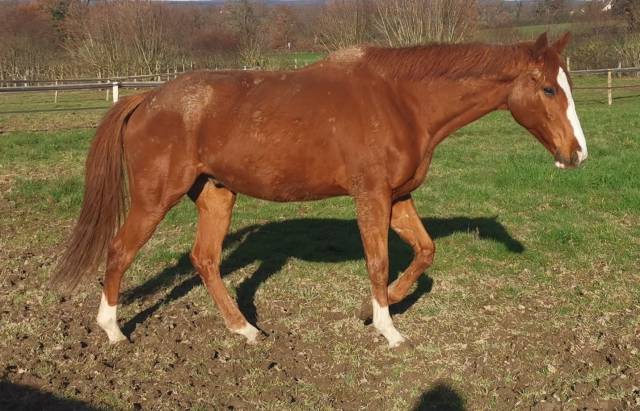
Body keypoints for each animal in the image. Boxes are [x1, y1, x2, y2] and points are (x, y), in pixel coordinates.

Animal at [52, 32, 587, 348]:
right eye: (548, 89)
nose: (577, 154)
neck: (400, 100)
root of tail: (148, 98)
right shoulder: (372, 197)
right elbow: (379, 261)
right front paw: (389, 329)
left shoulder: (399, 198)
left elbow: (425, 252)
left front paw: (372, 311)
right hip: (154, 198)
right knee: (120, 251)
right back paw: (113, 330)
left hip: (217, 195)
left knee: (204, 260)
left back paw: (245, 329)